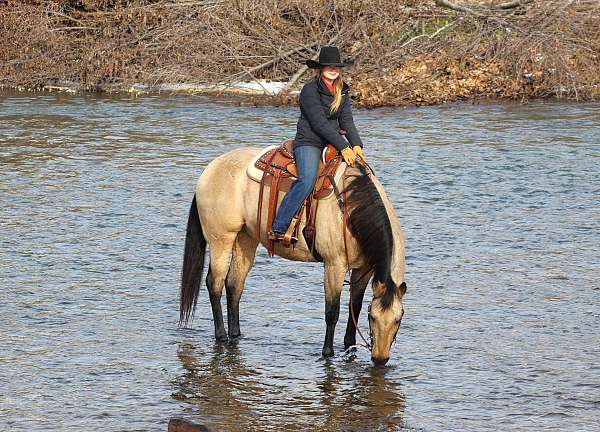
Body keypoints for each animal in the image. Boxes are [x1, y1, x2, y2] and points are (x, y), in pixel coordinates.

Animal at [179, 145, 408, 364]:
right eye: (373, 318)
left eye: (398, 319)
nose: (380, 359)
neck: (350, 207)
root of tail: (210, 169)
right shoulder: (334, 265)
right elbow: (332, 312)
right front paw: (328, 352)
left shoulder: (364, 269)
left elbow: (356, 307)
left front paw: (349, 346)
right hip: (221, 240)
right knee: (215, 283)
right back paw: (222, 336)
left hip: (246, 239)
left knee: (234, 284)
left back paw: (236, 334)